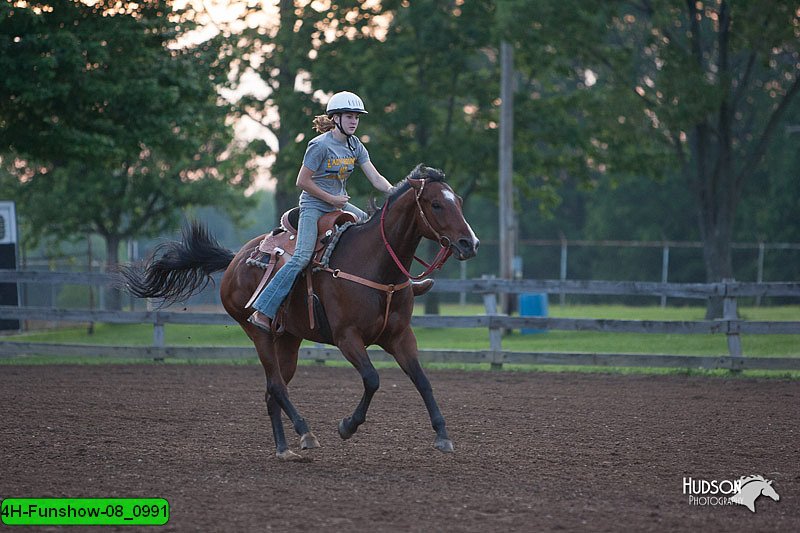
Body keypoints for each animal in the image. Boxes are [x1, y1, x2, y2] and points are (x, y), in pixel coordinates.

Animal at [122, 163, 478, 458]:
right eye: (436, 204)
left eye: (460, 201)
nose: (469, 244)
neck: (377, 266)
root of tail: (237, 259)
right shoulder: (347, 337)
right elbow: (373, 379)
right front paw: (347, 426)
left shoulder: (400, 337)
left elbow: (422, 380)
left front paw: (443, 435)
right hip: (258, 334)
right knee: (277, 385)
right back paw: (305, 433)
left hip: (289, 340)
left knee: (272, 390)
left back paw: (283, 448)